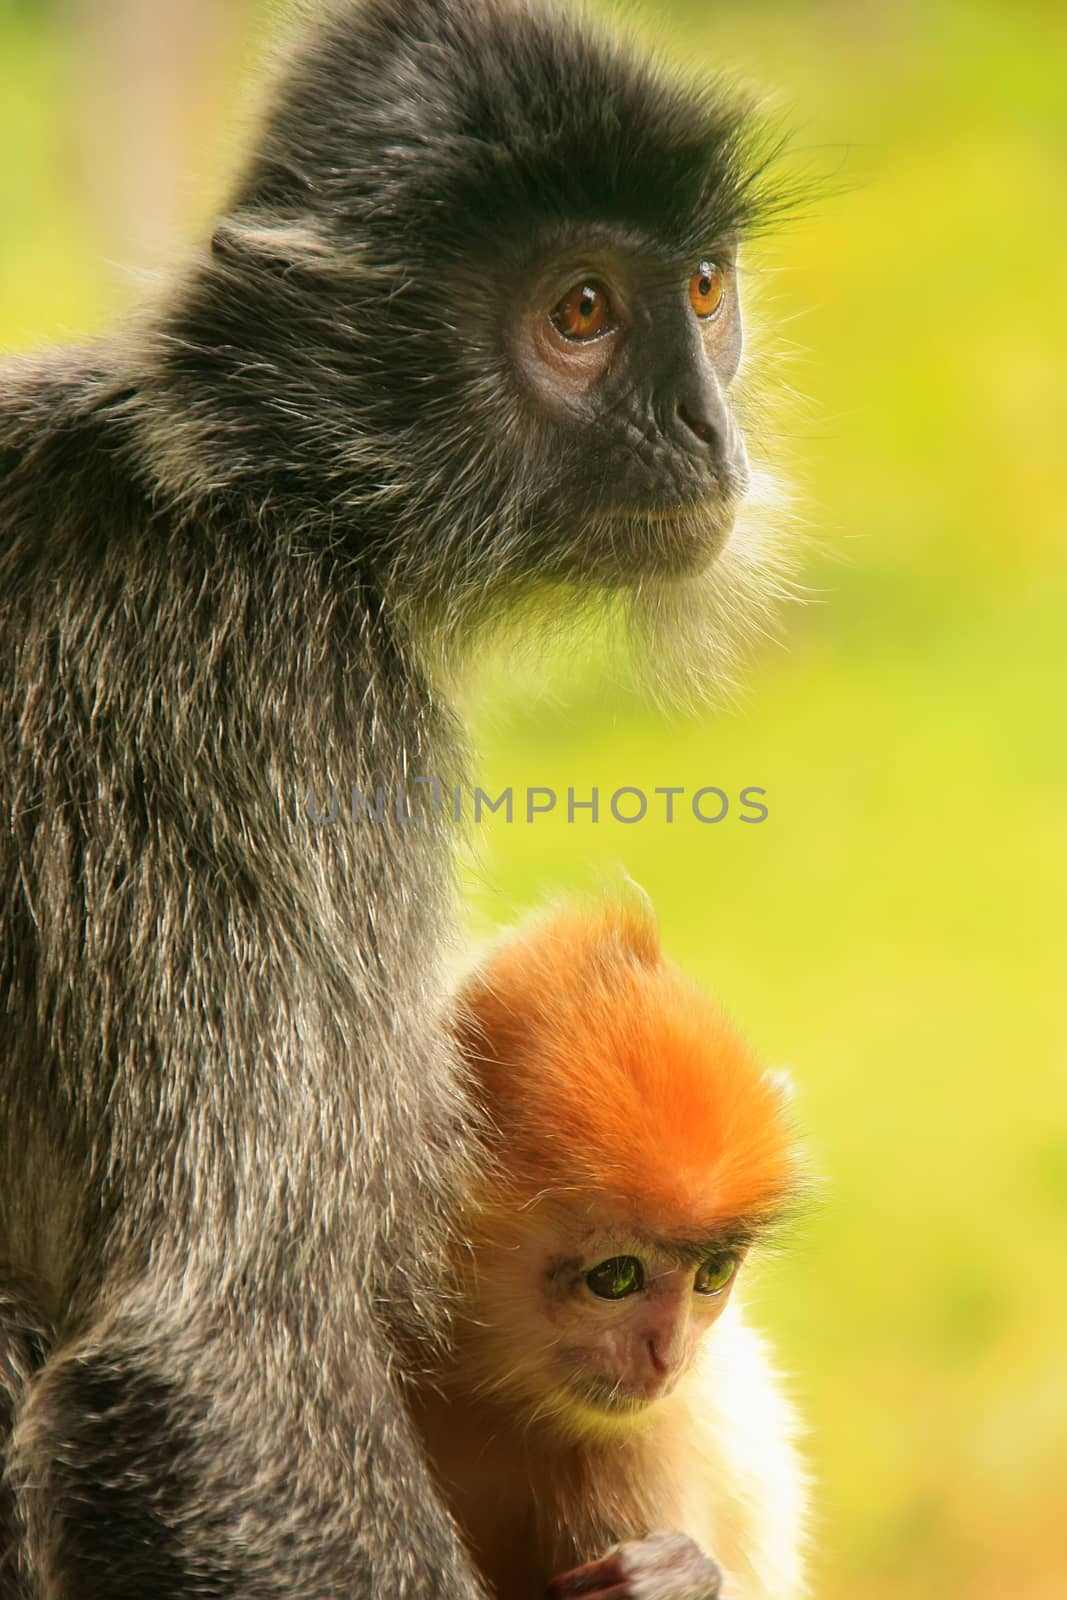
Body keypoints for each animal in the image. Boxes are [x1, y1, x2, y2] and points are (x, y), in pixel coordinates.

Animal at [412, 908, 812, 1593]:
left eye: (713, 1273)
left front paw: (670, 1579)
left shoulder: (643, 1448)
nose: (667, 1354)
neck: (483, 1393)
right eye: (617, 1279)